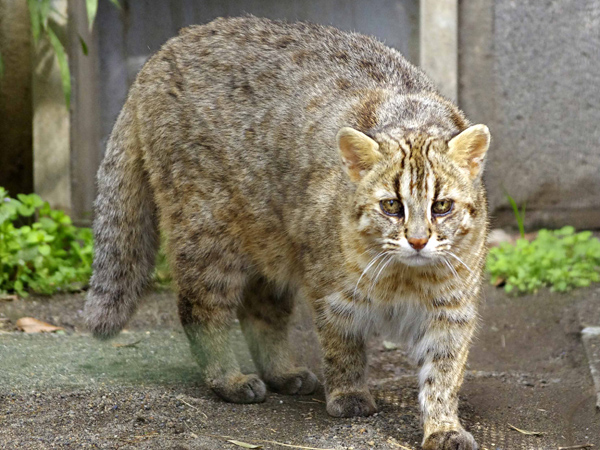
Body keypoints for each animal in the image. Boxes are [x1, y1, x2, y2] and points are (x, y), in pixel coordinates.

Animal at [84, 15, 488, 448]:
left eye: (441, 206)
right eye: (392, 206)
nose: (417, 240)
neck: (404, 276)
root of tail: (165, 49)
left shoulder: (452, 307)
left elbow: (443, 373)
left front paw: (443, 425)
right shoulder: (332, 292)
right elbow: (343, 347)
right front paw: (348, 393)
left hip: (269, 242)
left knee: (260, 310)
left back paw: (280, 370)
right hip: (208, 234)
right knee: (201, 308)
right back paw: (228, 379)